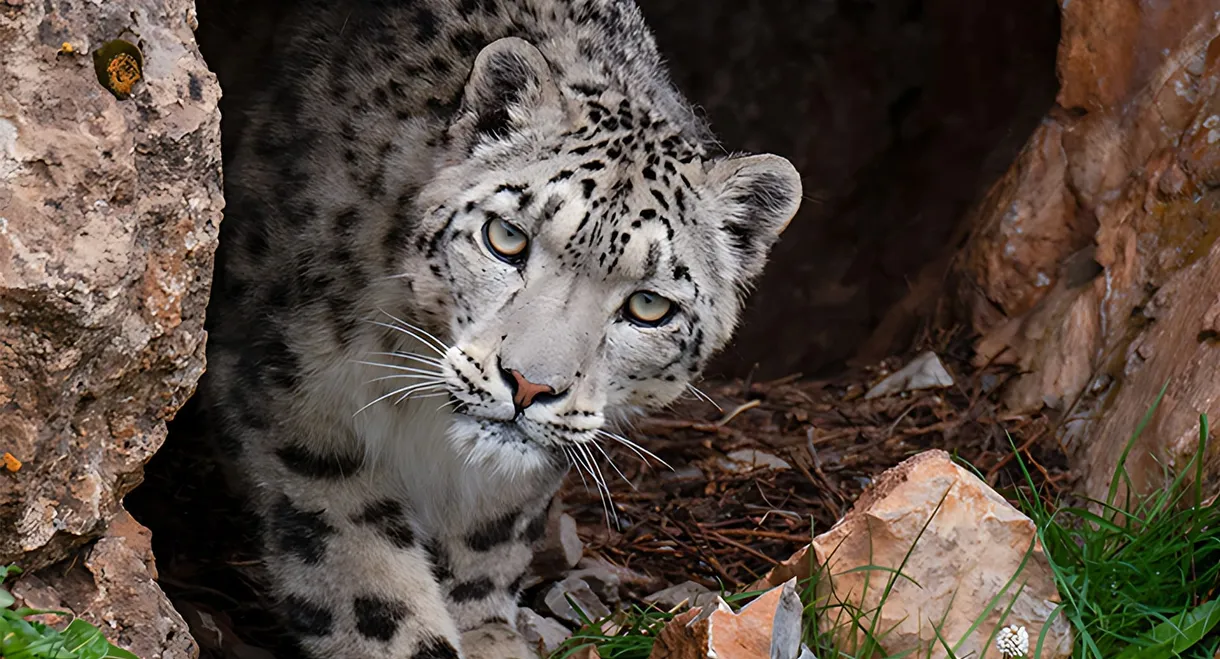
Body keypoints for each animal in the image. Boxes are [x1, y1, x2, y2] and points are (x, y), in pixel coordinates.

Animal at [202, 0, 800, 654]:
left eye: (648, 306)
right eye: (506, 237)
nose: (530, 386)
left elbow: (492, 535)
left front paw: (487, 630)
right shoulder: (298, 396)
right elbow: (366, 576)